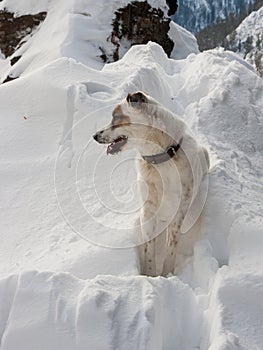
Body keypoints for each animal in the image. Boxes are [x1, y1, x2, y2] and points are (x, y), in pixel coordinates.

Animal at [94, 91, 209, 278]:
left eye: (116, 117)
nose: (95, 136)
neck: (160, 159)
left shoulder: (179, 211)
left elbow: (172, 246)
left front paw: (167, 274)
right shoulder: (148, 211)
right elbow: (149, 249)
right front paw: (150, 276)